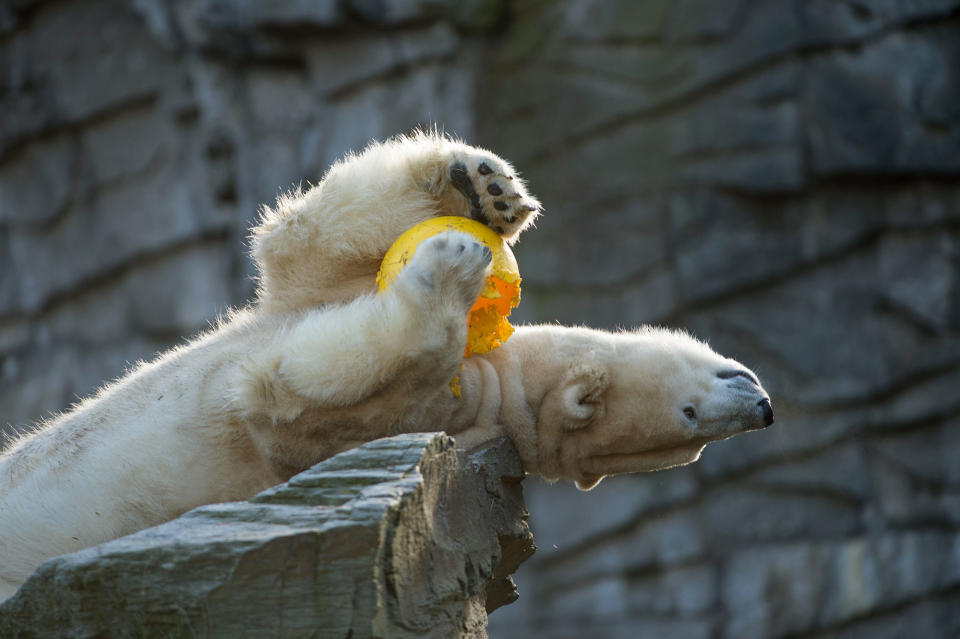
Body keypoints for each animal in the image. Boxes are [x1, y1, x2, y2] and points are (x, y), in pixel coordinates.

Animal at [0, 132, 772, 604]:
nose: (762, 407)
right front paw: (482, 187)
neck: (501, 392)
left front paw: (449, 268)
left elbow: (291, 393)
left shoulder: (383, 420)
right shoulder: (304, 295)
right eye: (692, 417)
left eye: (692, 438)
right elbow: (304, 245)